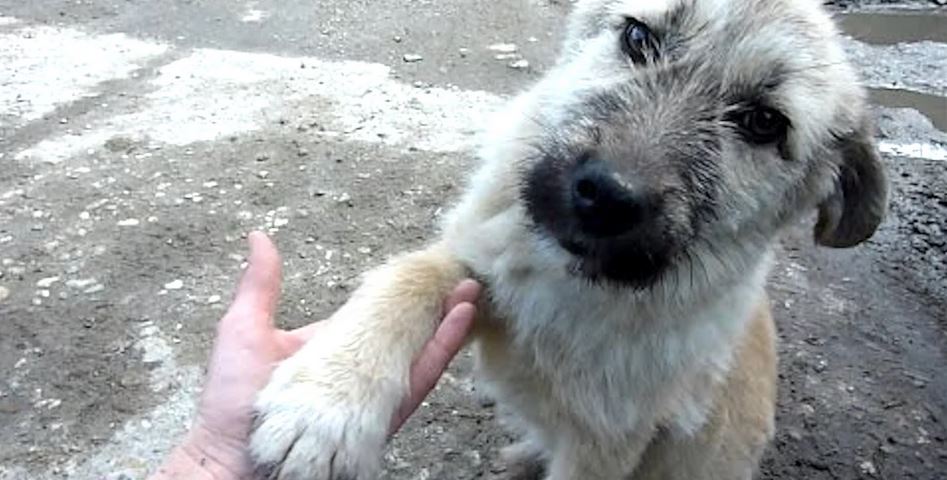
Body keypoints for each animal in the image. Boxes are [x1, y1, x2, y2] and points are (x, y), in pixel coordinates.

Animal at [248, 0, 884, 480]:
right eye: (638, 37)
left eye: (763, 123)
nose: (606, 195)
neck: (574, 289)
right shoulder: (482, 267)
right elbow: (410, 276)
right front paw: (324, 403)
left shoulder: (605, 447)